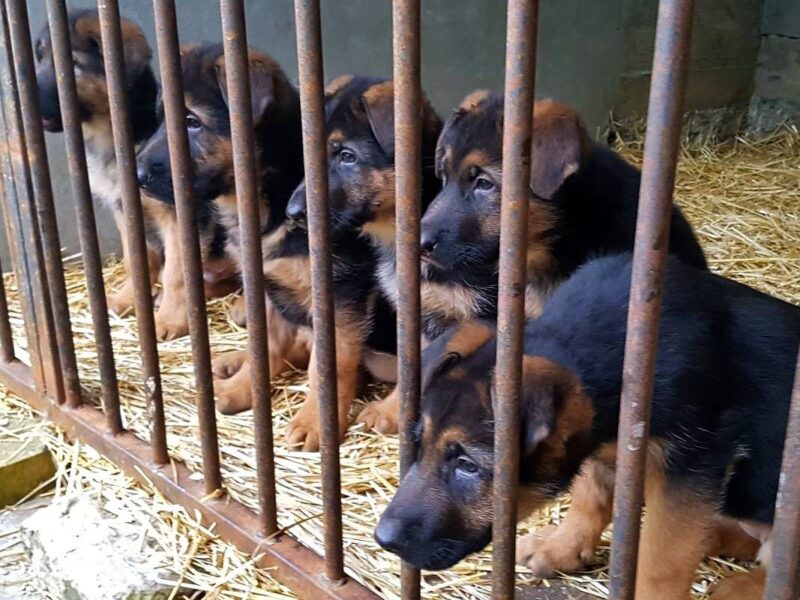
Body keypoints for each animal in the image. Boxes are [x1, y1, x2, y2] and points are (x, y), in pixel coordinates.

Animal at [376, 253, 800, 600]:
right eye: (420, 444)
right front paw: (562, 547)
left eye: (468, 465)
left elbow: (663, 557)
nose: (383, 540)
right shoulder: (606, 444)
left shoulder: (690, 463)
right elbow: (589, 496)